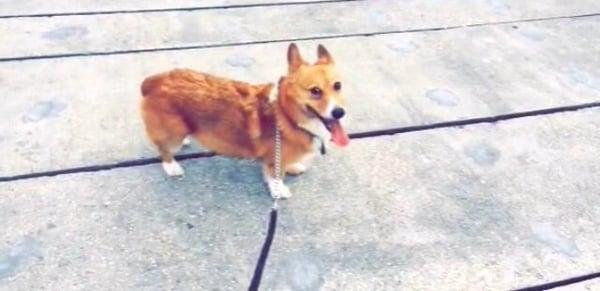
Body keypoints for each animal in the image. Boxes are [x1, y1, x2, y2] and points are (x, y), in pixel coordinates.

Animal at [141, 42, 350, 198]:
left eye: (338, 85)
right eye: (315, 91)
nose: (339, 112)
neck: (286, 115)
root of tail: (152, 81)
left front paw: (293, 167)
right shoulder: (273, 160)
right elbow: (275, 176)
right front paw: (280, 190)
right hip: (173, 132)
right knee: (163, 148)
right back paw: (172, 167)